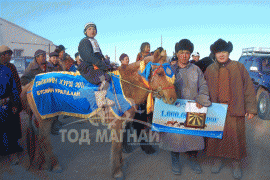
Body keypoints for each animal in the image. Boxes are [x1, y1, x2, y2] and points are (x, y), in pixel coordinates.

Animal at [21, 49, 177, 179]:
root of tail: (30, 84)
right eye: (160, 73)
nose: (173, 99)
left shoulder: (123, 122)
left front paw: (121, 164)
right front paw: (117, 171)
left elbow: (120, 144)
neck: (125, 85)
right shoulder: (116, 123)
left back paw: (46, 162)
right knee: (43, 139)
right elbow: (117, 146)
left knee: (40, 138)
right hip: (45, 119)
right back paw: (54, 165)